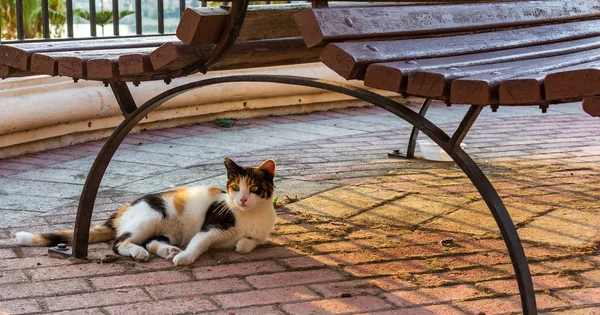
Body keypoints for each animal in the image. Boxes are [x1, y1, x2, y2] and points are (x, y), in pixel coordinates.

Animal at [16, 158, 278, 266]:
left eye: (254, 188)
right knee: (120, 243)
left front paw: (242, 244)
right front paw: (185, 258)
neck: (250, 216)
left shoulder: (262, 234)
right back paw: (140, 253)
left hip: (167, 230)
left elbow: (254, 242)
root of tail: (121, 211)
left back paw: (167, 250)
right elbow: (198, 243)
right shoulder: (212, 226)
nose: (242, 199)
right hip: (149, 218)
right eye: (235, 188)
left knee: (152, 242)